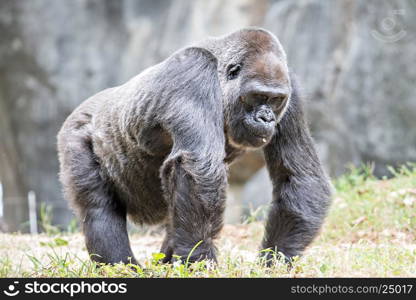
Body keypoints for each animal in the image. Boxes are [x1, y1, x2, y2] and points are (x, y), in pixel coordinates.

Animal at [57, 26, 332, 264]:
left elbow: (299, 177)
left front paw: (276, 259)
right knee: (98, 210)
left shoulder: (291, 90)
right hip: (75, 134)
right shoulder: (193, 70)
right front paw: (200, 259)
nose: (266, 118)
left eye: (275, 100)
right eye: (258, 96)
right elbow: (199, 169)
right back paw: (121, 266)